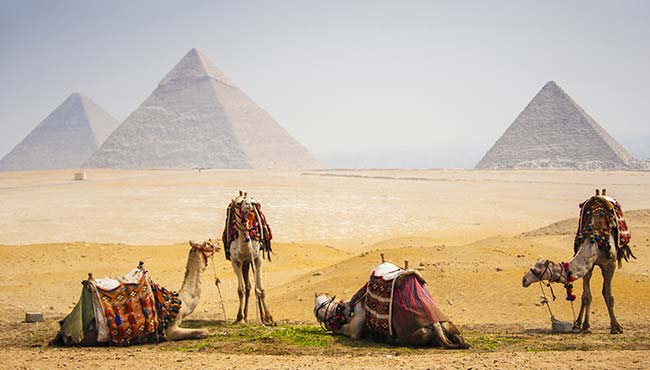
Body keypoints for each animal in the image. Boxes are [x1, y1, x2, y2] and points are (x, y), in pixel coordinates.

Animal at [51, 238, 218, 346]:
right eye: (208, 243)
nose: (218, 244)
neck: (182, 302)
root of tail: (64, 330)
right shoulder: (171, 329)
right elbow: (204, 331)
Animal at [223, 192, 274, 326]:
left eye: (250, 199)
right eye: (238, 203)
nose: (251, 204)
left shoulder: (257, 259)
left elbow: (260, 289)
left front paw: (269, 318)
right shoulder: (236, 262)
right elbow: (240, 290)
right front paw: (239, 318)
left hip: (250, 262)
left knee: (253, 287)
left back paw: (261, 317)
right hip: (244, 264)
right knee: (248, 287)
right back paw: (244, 316)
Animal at [314, 258, 466, 348]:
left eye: (317, 307)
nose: (316, 294)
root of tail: (436, 325)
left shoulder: (355, 331)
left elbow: (342, 331)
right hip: (448, 327)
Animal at [520, 189, 636, 334]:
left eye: (537, 269)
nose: (524, 280)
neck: (595, 241)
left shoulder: (610, 265)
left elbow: (608, 295)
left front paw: (616, 327)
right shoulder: (588, 267)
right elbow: (586, 296)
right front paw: (585, 326)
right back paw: (578, 323)